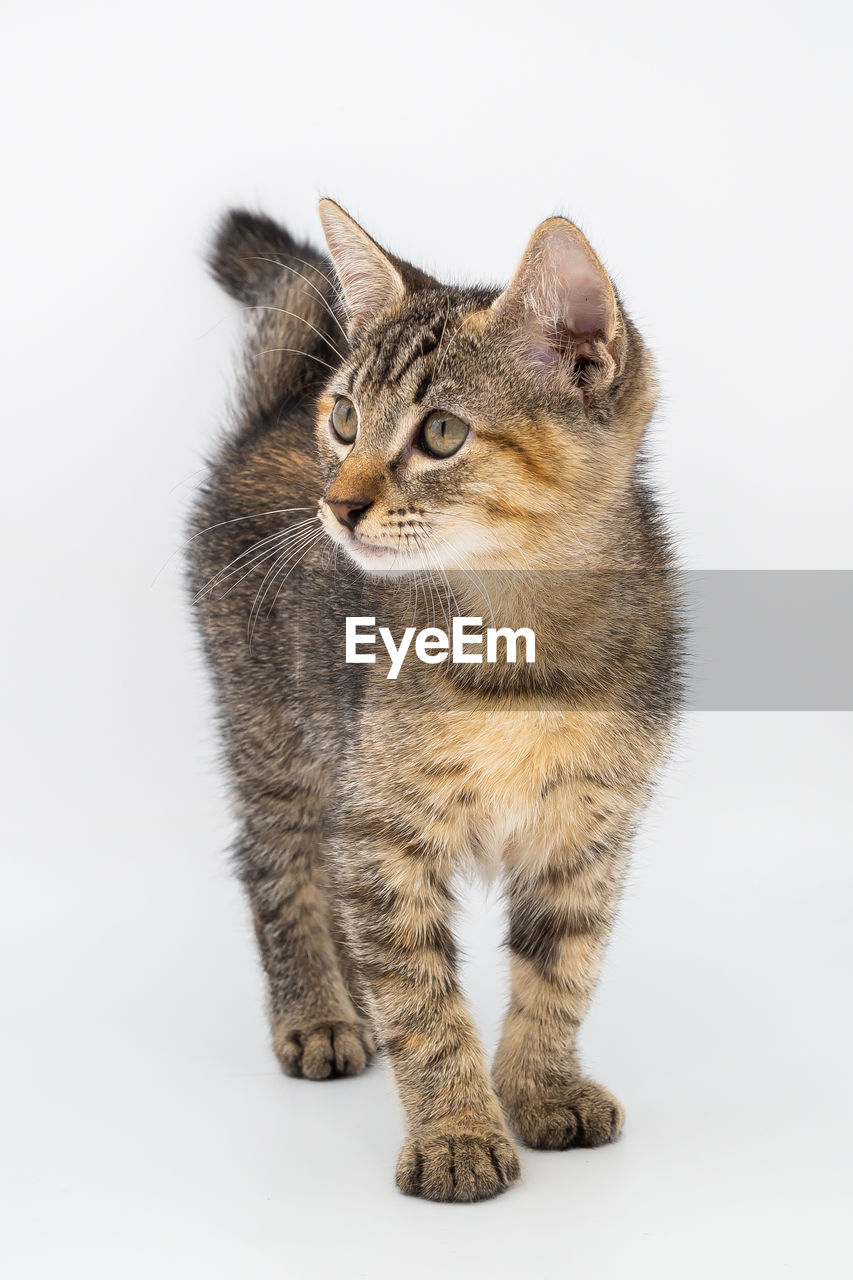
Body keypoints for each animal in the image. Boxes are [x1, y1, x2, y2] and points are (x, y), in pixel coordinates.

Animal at [188, 199, 676, 1198]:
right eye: (345, 418)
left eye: (441, 433)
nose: (336, 504)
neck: (518, 643)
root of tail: (269, 416)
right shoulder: (388, 830)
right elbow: (421, 994)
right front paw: (455, 1132)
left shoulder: (588, 827)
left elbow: (562, 965)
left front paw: (540, 1087)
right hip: (276, 724)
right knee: (280, 859)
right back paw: (320, 1015)